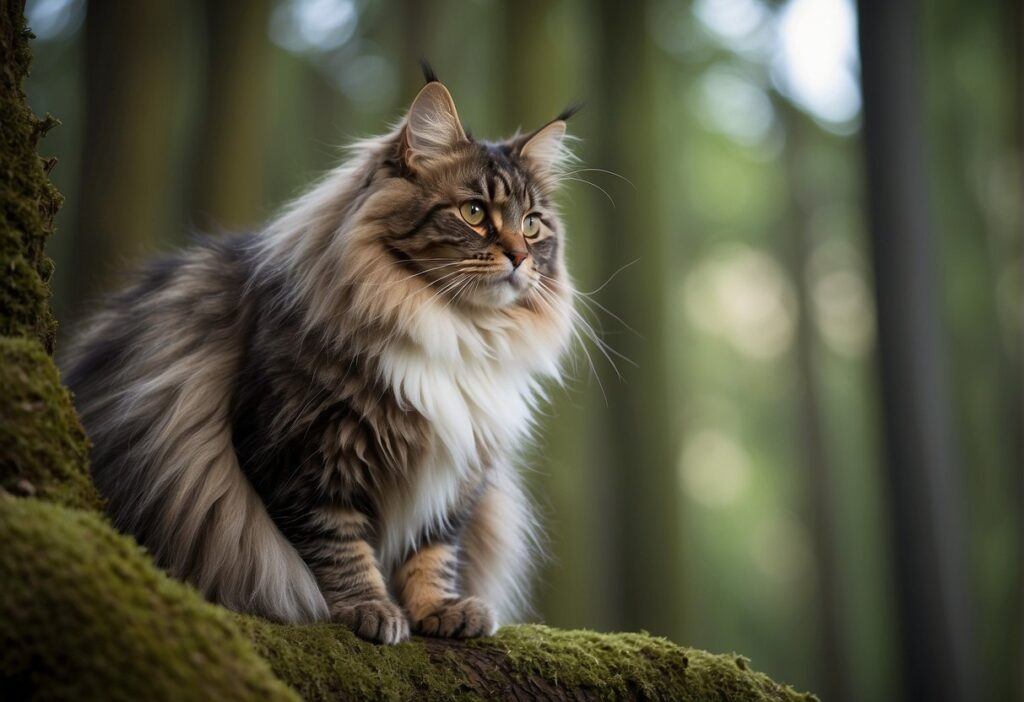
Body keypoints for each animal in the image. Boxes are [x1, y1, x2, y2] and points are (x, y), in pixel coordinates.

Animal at [61, 68, 577, 646]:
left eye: (532, 223)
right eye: (473, 212)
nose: (520, 257)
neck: (453, 327)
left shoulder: (459, 477)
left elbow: (433, 550)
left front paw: (439, 609)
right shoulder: (303, 455)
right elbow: (336, 546)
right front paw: (369, 609)